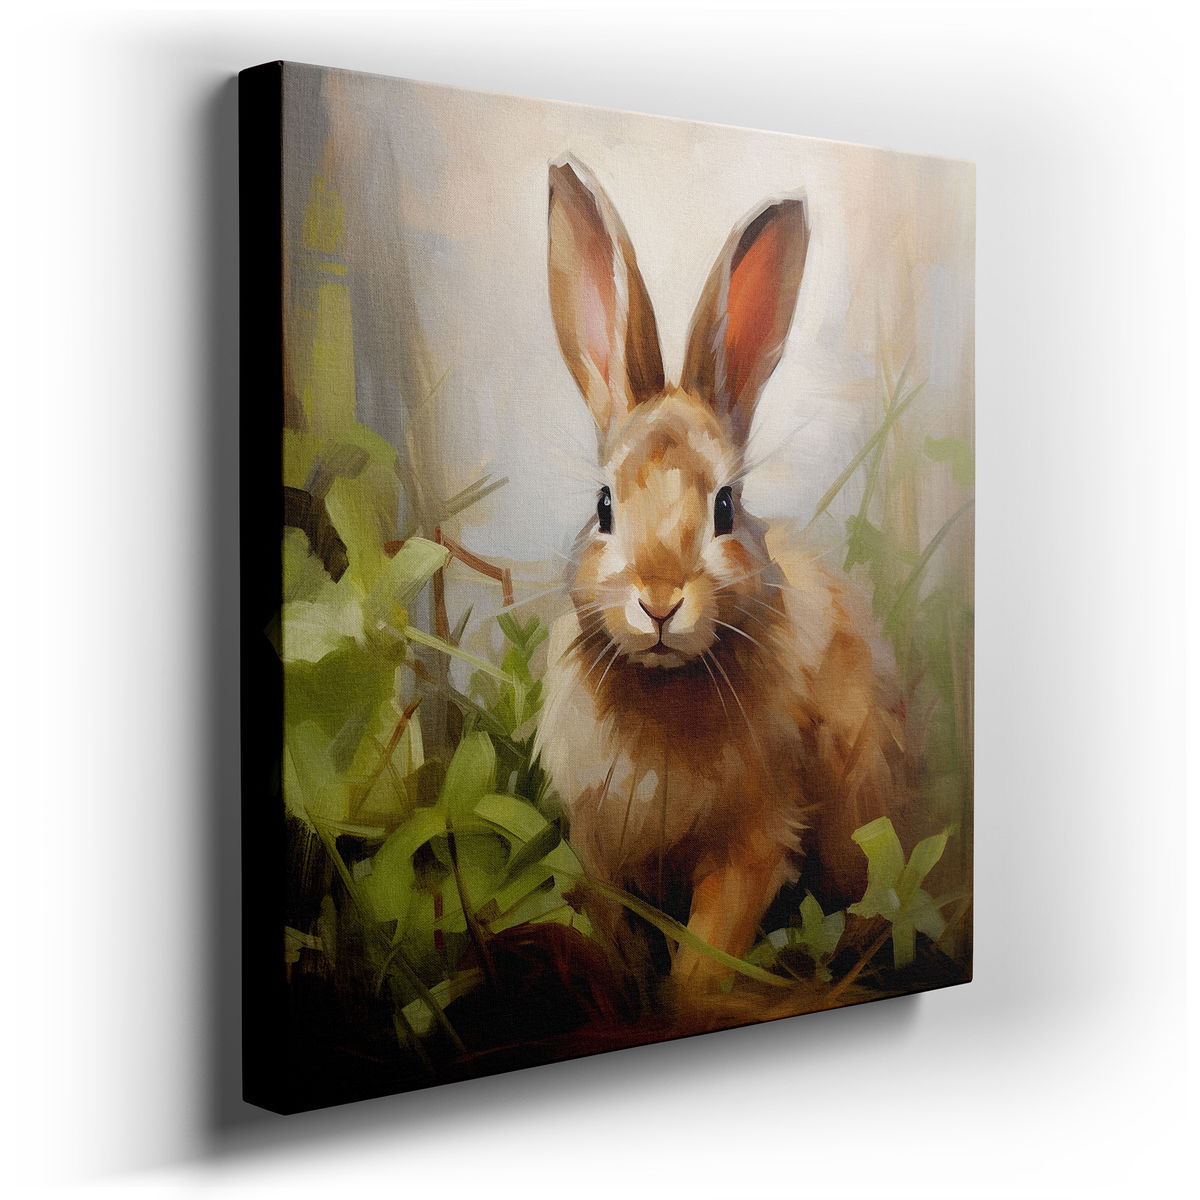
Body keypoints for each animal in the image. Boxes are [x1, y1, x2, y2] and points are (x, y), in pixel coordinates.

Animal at [534, 157, 909, 999]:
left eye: (726, 507)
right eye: (604, 506)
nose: (659, 600)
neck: (664, 687)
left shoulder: (755, 843)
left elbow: (703, 962)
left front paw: (691, 1003)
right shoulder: (600, 849)